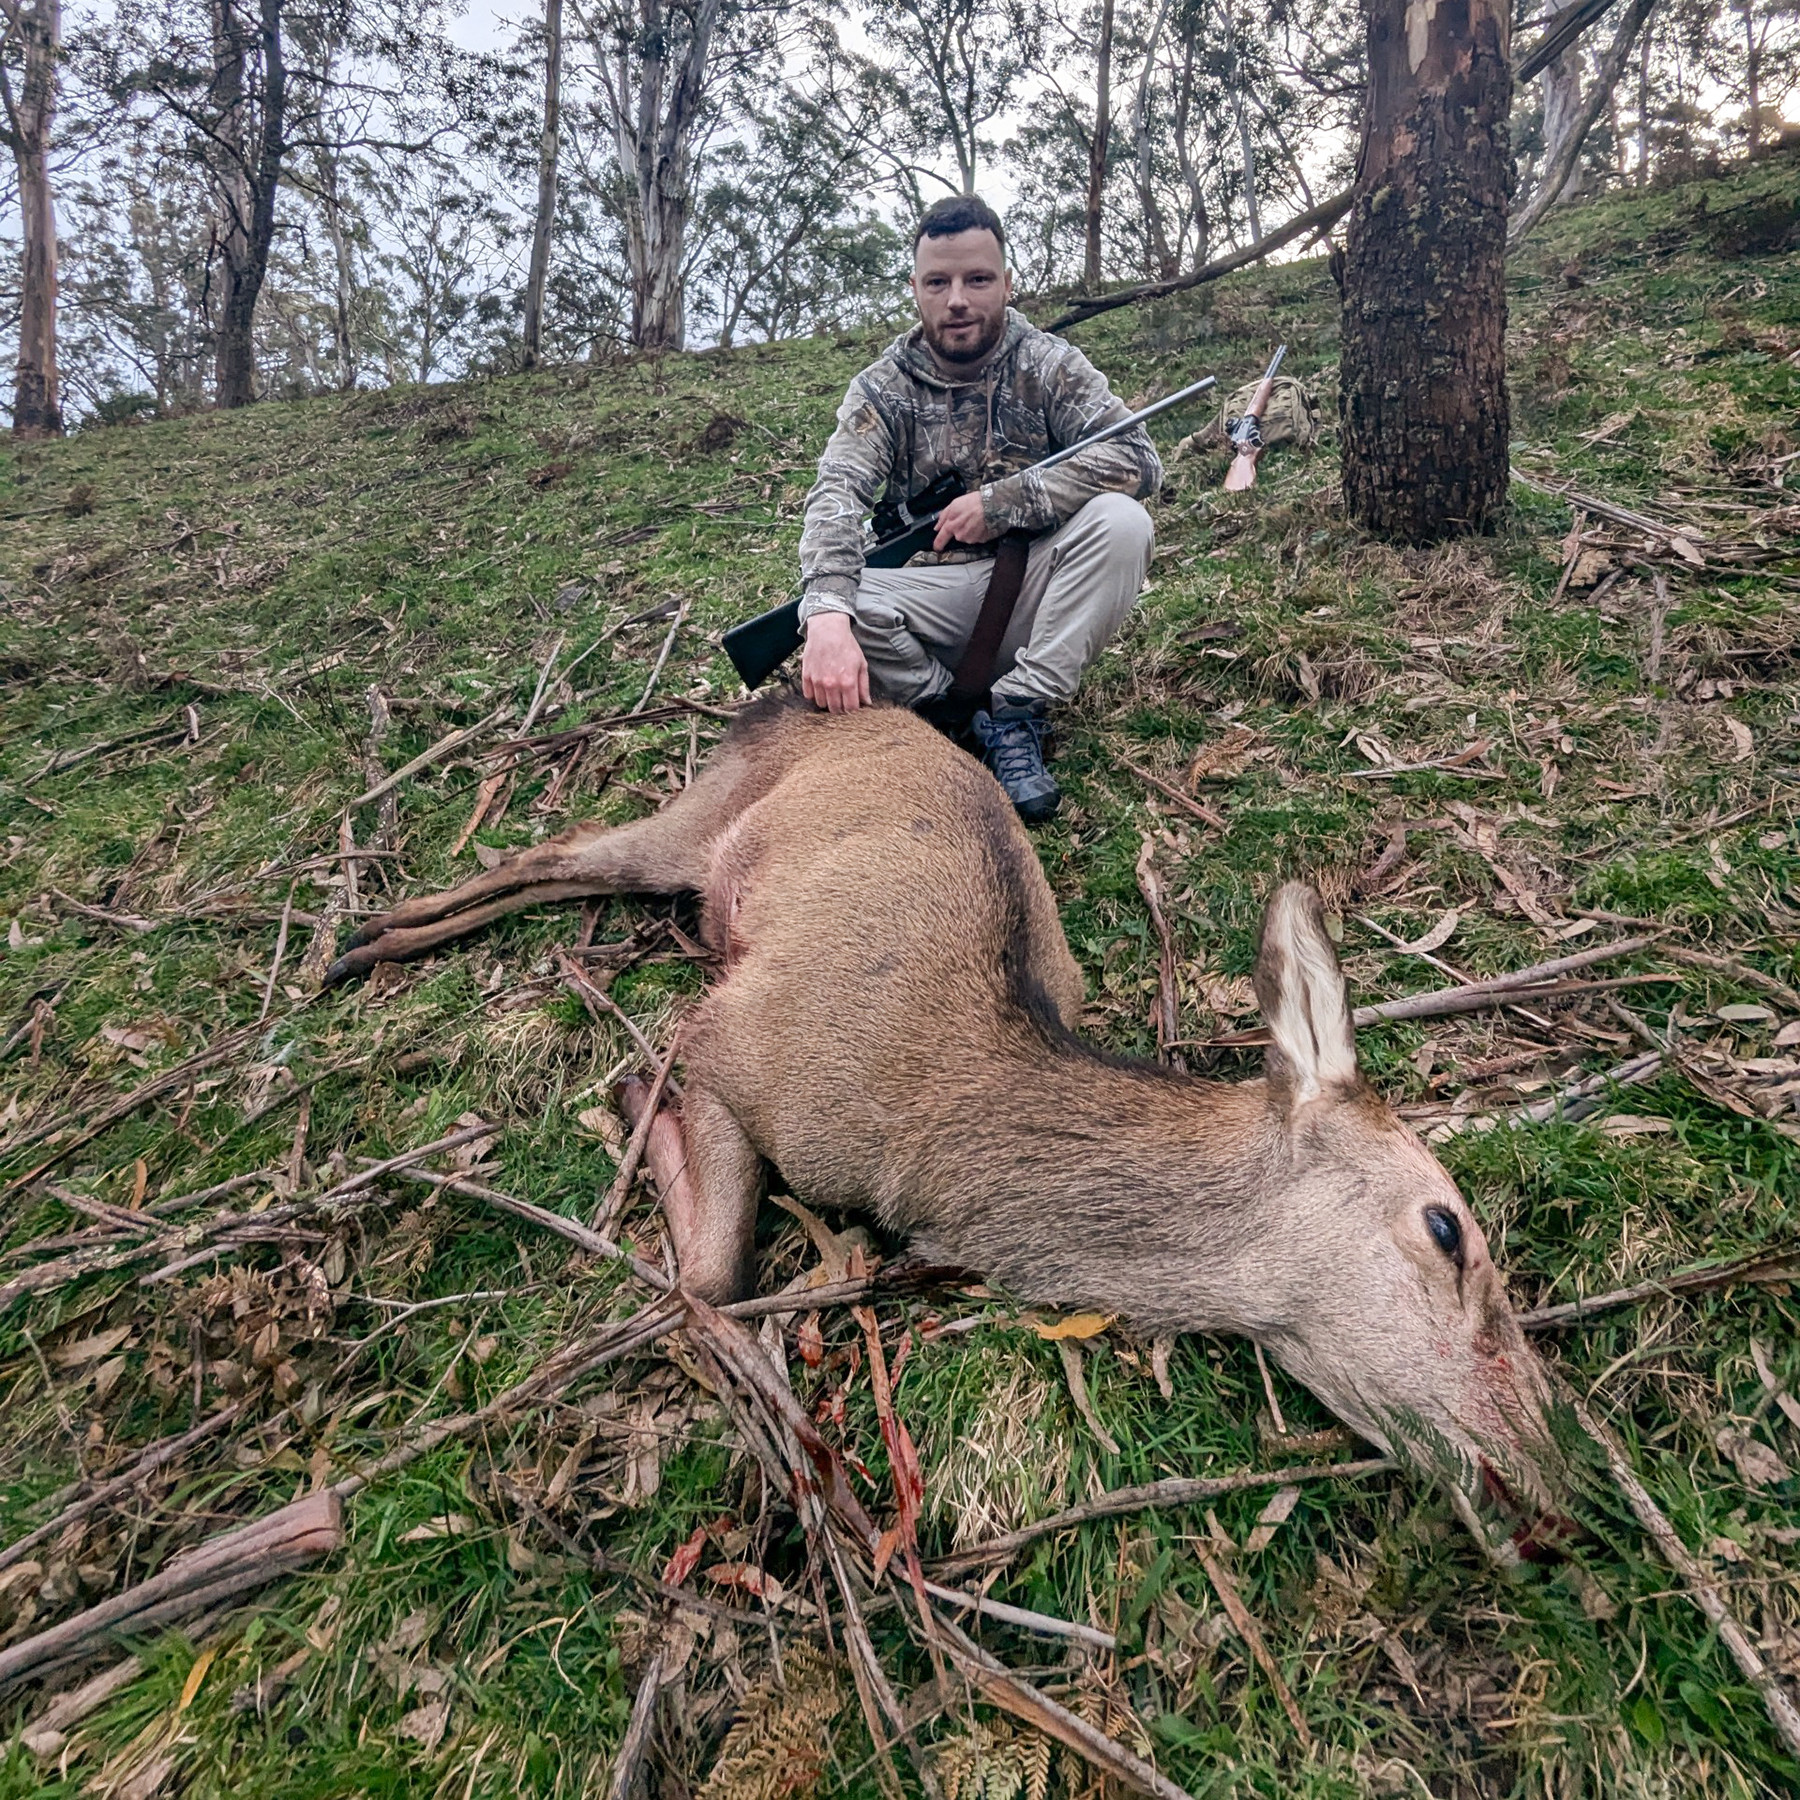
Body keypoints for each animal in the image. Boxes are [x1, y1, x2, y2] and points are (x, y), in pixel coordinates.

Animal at [327, 691, 1561, 1531]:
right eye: (1447, 1227)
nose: (1559, 1481)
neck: (924, 1131)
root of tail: (784, 696)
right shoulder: (728, 1039)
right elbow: (714, 1276)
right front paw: (637, 1106)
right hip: (703, 810)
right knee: (557, 849)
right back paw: (367, 935)